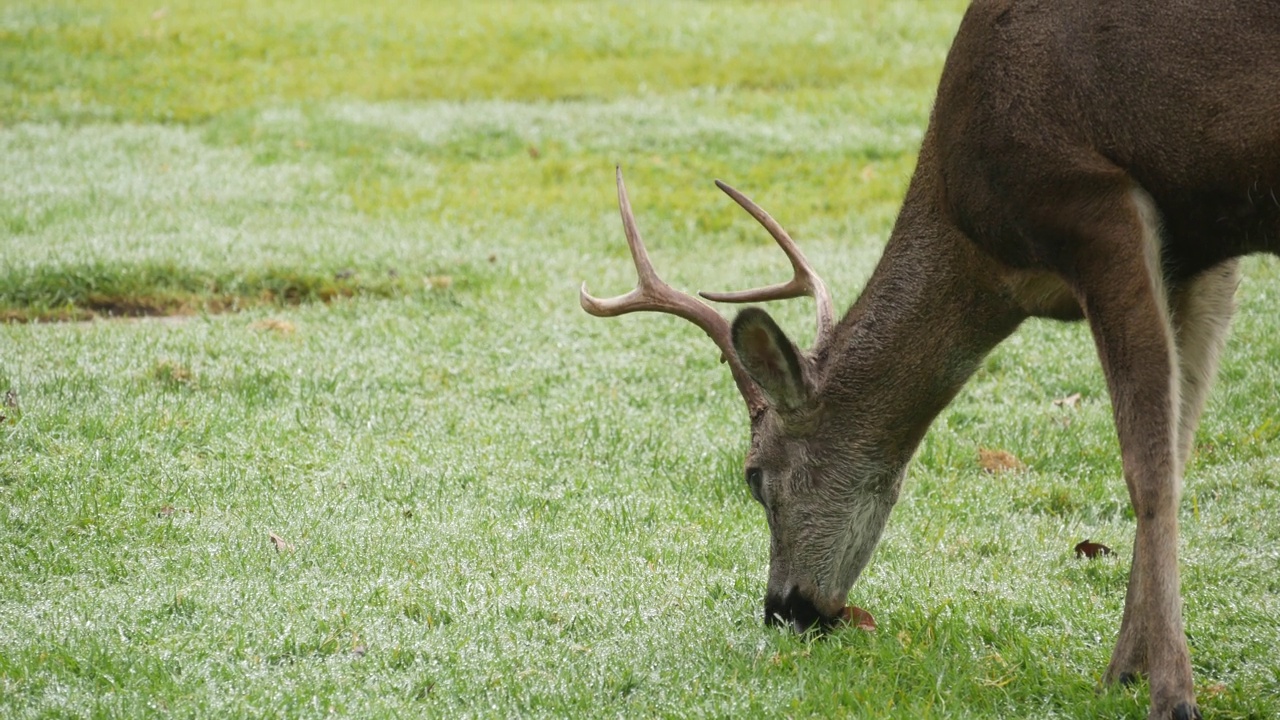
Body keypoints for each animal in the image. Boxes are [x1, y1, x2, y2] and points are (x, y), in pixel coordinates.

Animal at [583, 1, 1280, 717]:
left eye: (752, 477)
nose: (783, 610)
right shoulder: (1203, 250)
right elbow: (1181, 442)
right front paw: (1128, 669)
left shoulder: (1091, 198)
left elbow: (1150, 470)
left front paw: (1165, 689)